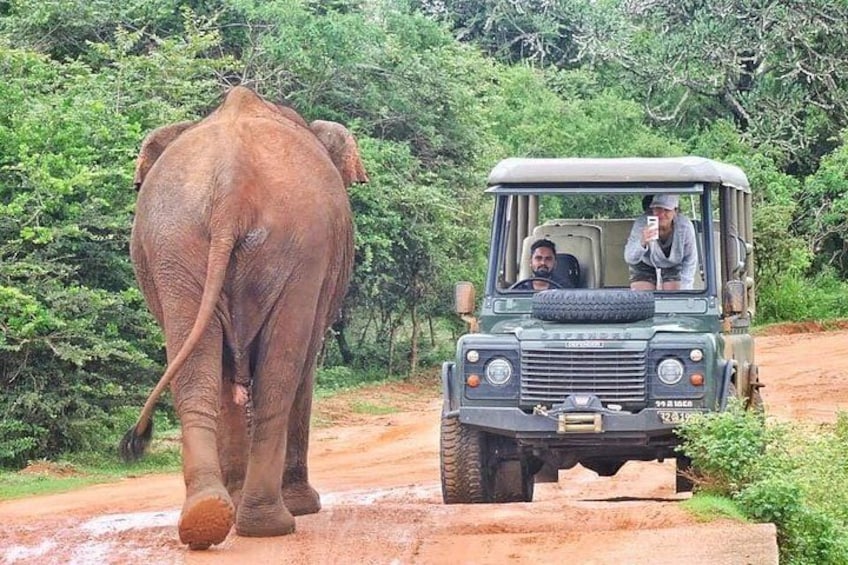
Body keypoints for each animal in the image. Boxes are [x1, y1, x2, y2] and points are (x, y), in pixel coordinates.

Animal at [121, 86, 368, 549]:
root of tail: (232, 189)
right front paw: (300, 506)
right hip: (295, 248)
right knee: (281, 376)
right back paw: (271, 522)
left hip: (177, 245)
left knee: (198, 372)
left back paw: (210, 517)